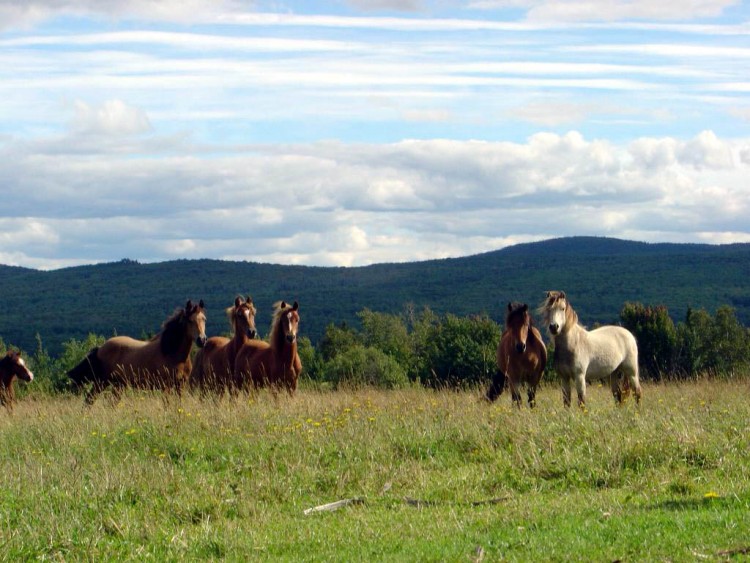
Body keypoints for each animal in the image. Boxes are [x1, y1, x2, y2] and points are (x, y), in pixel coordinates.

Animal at [67, 300, 207, 406]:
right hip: (101, 382)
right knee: (89, 401)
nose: (202, 340)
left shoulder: (180, 386)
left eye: (204, 319)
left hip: (118, 385)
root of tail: (100, 348)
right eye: (190, 320)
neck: (172, 354)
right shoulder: (166, 386)